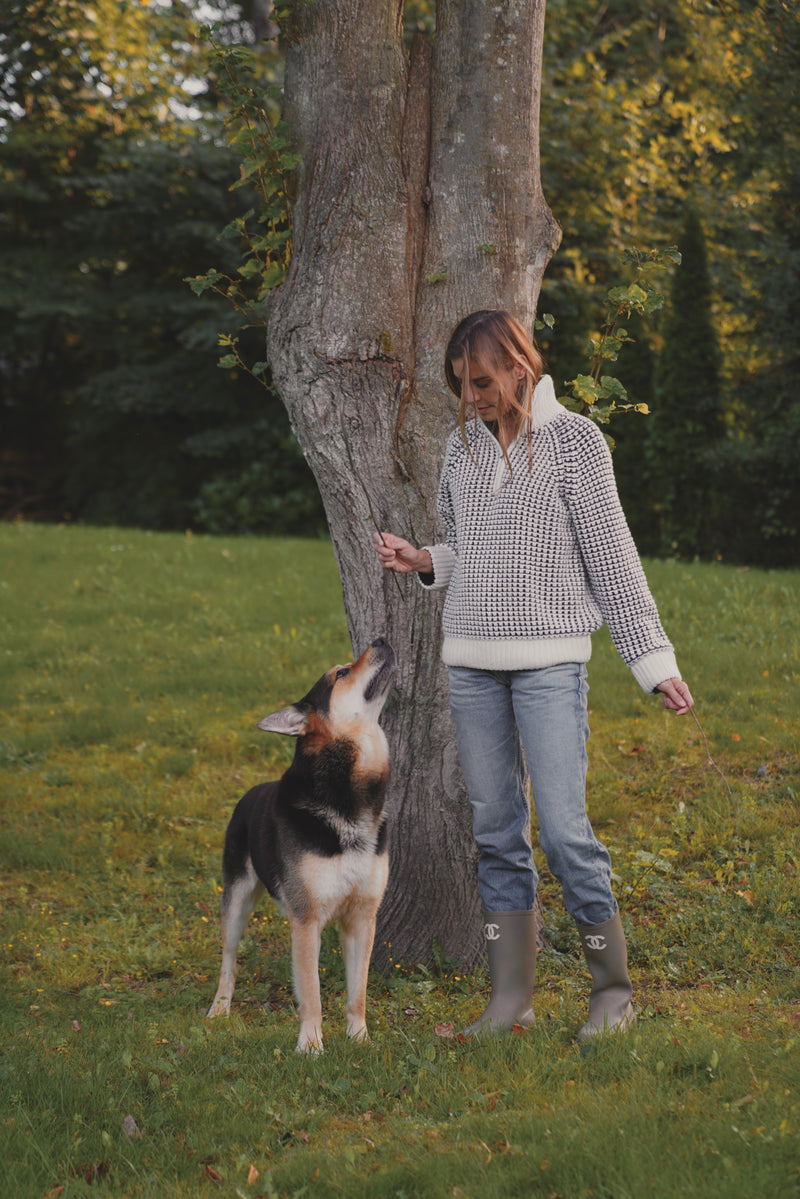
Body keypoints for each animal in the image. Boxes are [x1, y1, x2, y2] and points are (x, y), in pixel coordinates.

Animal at [206, 637, 393, 1050]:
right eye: (341, 673)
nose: (381, 640)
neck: (346, 796)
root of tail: (251, 792)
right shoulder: (306, 920)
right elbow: (311, 993)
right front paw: (310, 1046)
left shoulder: (362, 917)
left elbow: (357, 992)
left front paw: (359, 1039)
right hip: (237, 898)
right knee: (228, 960)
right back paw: (219, 1008)